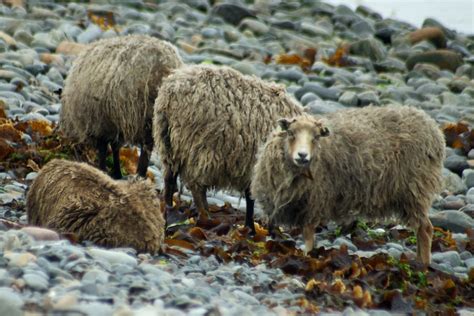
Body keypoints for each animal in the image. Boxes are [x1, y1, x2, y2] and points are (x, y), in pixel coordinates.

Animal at [61, 34, 183, 179]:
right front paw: (116, 173)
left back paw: (140, 174)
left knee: (146, 147)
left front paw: (104, 170)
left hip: (145, 114)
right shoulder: (112, 124)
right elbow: (114, 147)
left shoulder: (100, 125)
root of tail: (166, 66)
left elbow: (104, 150)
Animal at [156, 64, 304, 232]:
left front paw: (251, 227)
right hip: (200, 149)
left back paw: (169, 209)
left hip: (170, 147)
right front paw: (255, 229)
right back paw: (207, 217)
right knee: (196, 187)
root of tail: (170, 93)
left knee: (169, 180)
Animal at [250, 106, 446, 264]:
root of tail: (434, 132)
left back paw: (424, 264)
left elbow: (308, 234)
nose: (302, 155)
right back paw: (418, 261)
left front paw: (306, 254)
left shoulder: (316, 200)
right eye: (291, 133)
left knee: (425, 229)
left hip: (416, 189)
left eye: (316, 137)